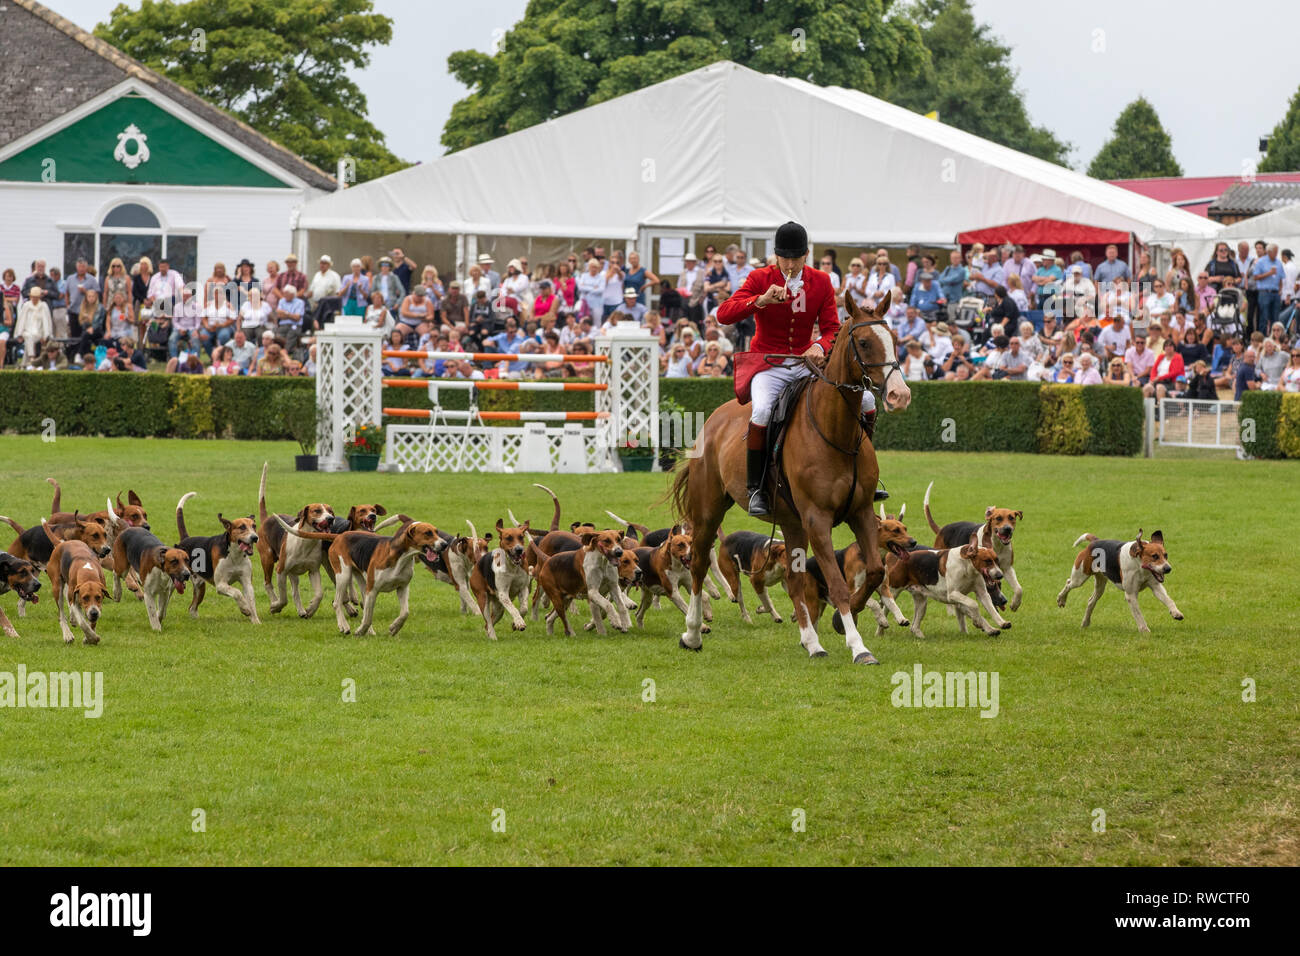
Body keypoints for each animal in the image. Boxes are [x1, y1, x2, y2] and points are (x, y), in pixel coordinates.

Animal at [676, 291, 909, 660]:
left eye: (894, 340)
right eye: (863, 342)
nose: (900, 395)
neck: (836, 431)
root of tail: (714, 419)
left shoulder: (860, 513)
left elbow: (874, 571)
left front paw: (841, 624)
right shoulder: (818, 519)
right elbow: (838, 585)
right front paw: (858, 646)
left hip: (791, 522)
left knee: (796, 580)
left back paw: (811, 642)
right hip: (710, 509)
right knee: (698, 564)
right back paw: (693, 633)